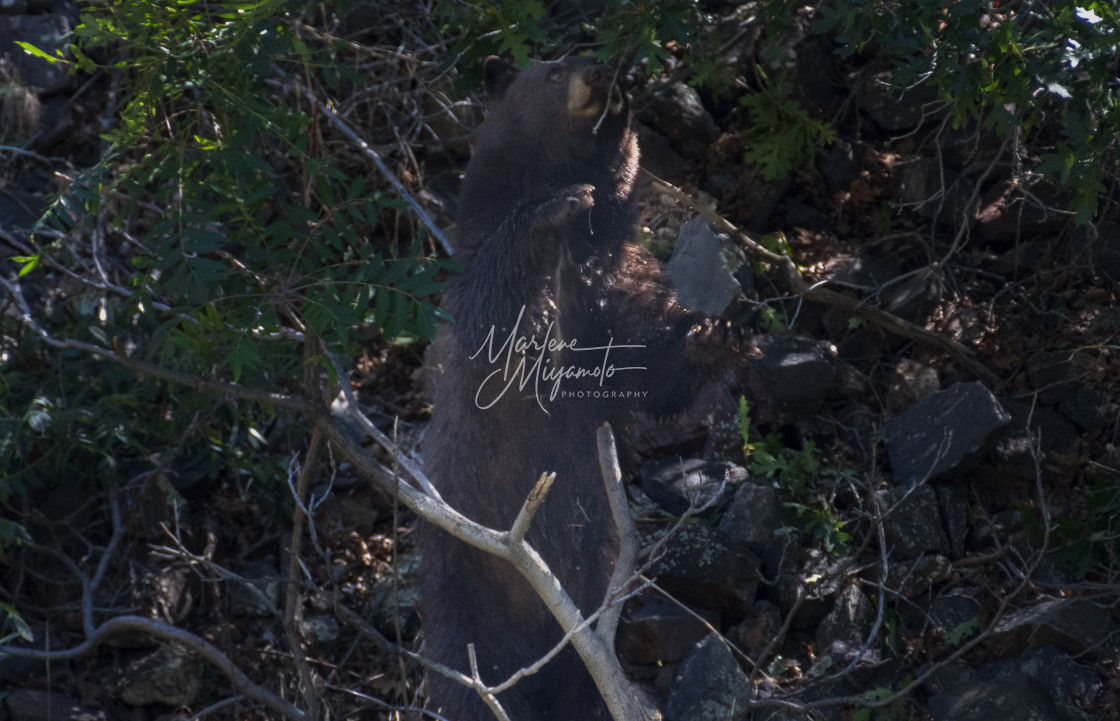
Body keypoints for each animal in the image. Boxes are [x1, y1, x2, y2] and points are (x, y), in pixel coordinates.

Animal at [421, 57, 725, 721]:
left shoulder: (613, 276)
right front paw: (555, 205)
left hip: (591, 598)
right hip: (462, 582)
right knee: (465, 665)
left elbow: (648, 359)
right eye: (554, 69)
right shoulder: (478, 270)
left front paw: (713, 334)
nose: (604, 69)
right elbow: (491, 311)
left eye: (597, 53)